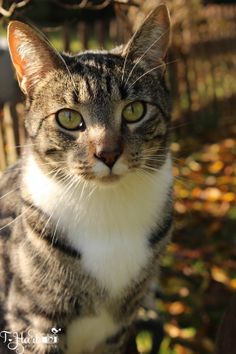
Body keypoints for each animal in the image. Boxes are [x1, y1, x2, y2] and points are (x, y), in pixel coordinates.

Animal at [0, 3, 173, 354]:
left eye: (134, 110)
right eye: (68, 118)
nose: (108, 154)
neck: (107, 209)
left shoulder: (119, 329)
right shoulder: (32, 324)